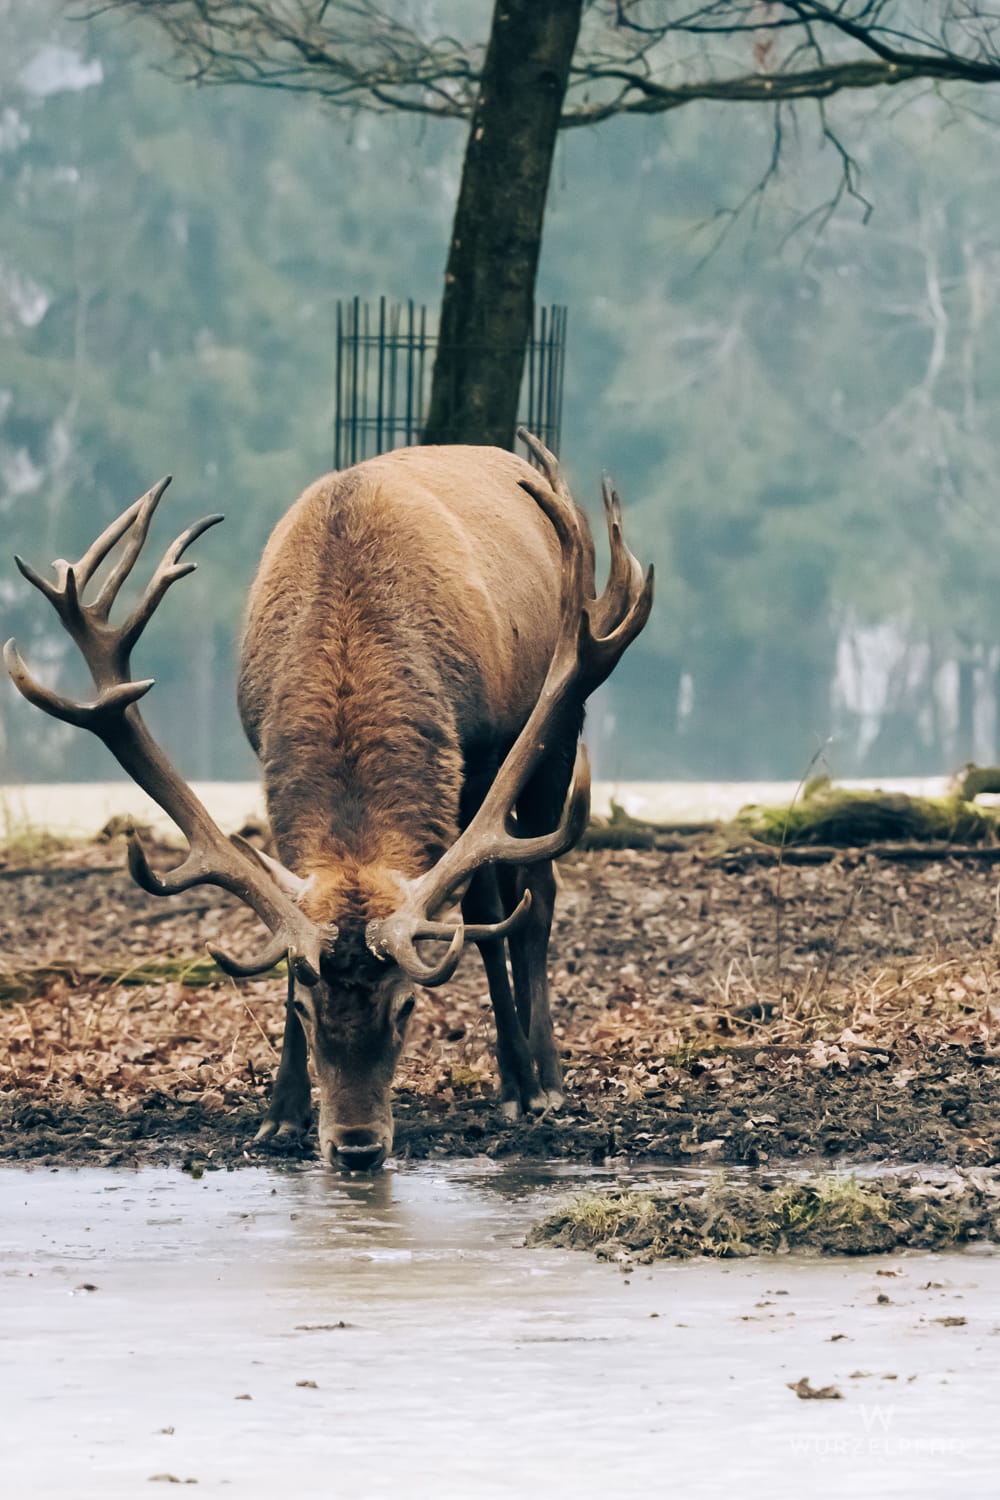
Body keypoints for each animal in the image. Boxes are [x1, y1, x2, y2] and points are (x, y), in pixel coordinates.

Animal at [5, 431, 652, 1170]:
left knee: (536, 893)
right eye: (308, 1012)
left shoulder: (485, 753)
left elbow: (486, 915)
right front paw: (280, 1114)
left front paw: (517, 1084)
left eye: (406, 1009)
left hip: (560, 721)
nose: (357, 1148)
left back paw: (545, 1077)